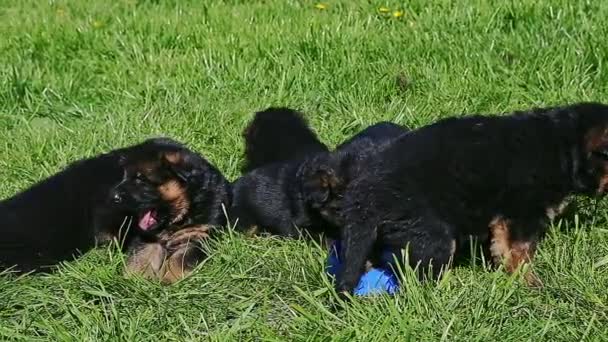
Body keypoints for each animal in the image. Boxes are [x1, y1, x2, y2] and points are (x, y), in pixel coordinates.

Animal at [0, 135, 229, 280]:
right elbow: (141, 257)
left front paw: (167, 280)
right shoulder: (144, 236)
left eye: (141, 179)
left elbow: (181, 259)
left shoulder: (199, 234)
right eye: (125, 176)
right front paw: (136, 281)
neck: (181, 214)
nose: (113, 197)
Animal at [334, 102, 608, 294]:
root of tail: (363, 197)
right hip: (432, 236)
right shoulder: (521, 215)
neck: (565, 146)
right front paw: (529, 281)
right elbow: (520, 252)